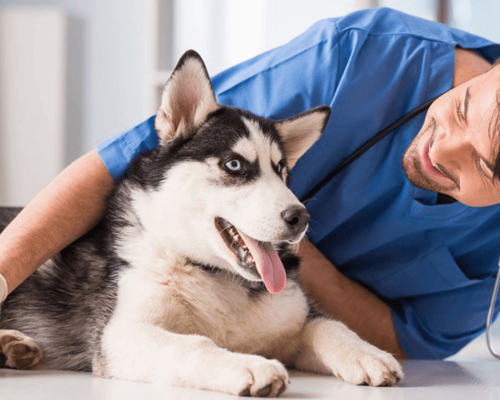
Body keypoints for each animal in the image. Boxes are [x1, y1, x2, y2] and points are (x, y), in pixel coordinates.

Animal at [0, 50, 404, 396]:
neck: (215, 275)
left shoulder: (293, 316)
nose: (300, 218)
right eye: (235, 165)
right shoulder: (120, 334)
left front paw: (367, 352)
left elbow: (328, 324)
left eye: (281, 170)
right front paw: (249, 366)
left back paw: (12, 346)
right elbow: (193, 344)